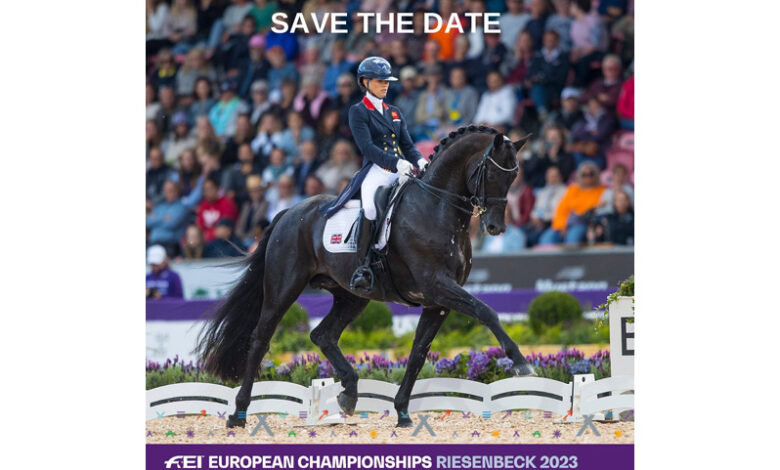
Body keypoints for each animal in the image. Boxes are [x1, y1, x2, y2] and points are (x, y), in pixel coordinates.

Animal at [196, 125, 535, 429]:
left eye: (514, 177)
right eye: (491, 174)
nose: (496, 228)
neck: (436, 207)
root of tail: (289, 213)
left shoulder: (436, 301)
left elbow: (418, 353)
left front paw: (402, 412)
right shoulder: (437, 286)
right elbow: (486, 311)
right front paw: (521, 363)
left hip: (352, 296)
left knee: (323, 335)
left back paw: (348, 394)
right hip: (283, 288)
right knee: (260, 339)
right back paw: (238, 414)